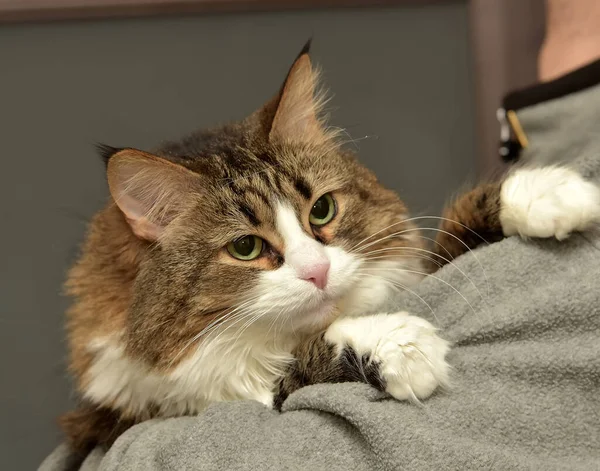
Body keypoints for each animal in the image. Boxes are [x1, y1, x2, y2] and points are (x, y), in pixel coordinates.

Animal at [59, 42, 600, 452]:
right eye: (246, 247)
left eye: (321, 211)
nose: (317, 271)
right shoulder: (141, 409)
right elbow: (294, 368)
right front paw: (397, 343)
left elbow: (461, 225)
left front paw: (550, 194)